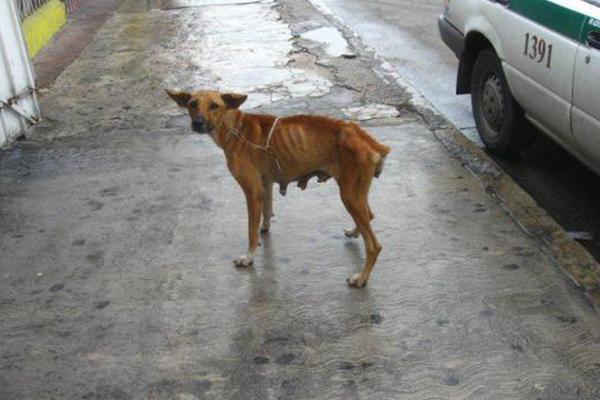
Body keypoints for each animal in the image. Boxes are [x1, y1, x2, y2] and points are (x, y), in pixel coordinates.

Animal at [166, 89, 392, 288]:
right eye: (192, 104)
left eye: (214, 105)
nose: (198, 123)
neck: (235, 128)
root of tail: (367, 139)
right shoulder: (265, 184)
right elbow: (266, 212)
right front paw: (264, 228)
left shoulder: (252, 191)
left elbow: (250, 230)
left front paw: (249, 257)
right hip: (355, 194)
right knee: (369, 216)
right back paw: (355, 231)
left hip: (349, 195)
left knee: (374, 245)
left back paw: (361, 279)